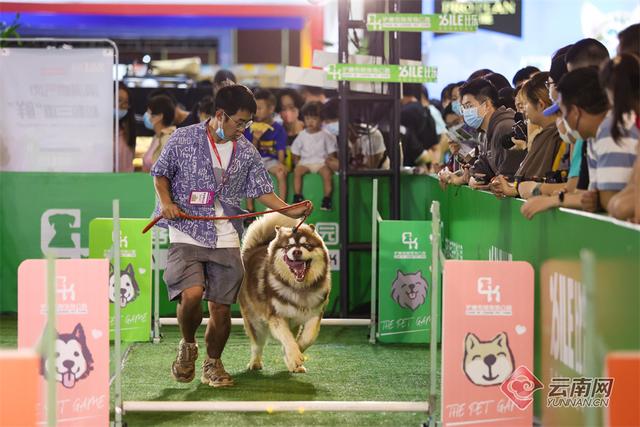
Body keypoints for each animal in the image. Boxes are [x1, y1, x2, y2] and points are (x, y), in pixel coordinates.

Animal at [239, 214, 330, 374]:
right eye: (288, 247)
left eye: (307, 245)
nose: (296, 252)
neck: (299, 288)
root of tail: (254, 249)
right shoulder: (276, 316)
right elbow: (287, 339)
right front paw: (294, 356)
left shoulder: (314, 313)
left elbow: (308, 337)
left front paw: (296, 355)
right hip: (255, 321)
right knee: (257, 344)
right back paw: (255, 362)